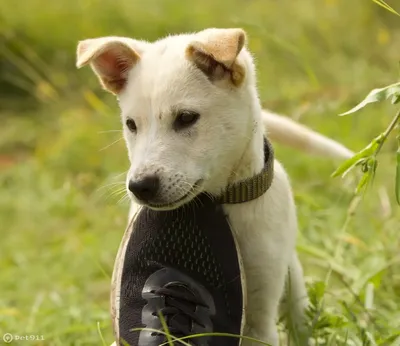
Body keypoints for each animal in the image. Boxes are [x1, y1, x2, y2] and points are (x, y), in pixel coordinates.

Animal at [77, 28, 354, 344]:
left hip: (291, 279)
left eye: (186, 118)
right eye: (131, 124)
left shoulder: (262, 308)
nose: (139, 187)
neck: (222, 201)